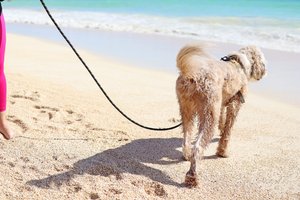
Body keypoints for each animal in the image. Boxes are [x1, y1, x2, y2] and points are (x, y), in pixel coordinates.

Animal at [176, 44, 268, 187]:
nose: (265, 71)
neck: (240, 64)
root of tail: (193, 75)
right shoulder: (235, 105)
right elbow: (227, 132)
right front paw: (222, 152)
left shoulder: (222, 104)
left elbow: (222, 121)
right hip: (209, 115)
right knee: (197, 147)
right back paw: (192, 176)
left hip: (187, 110)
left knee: (186, 139)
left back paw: (186, 155)